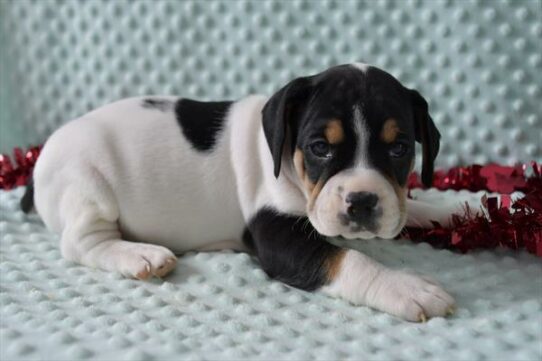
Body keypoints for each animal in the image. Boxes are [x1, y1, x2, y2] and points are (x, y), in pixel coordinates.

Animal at [25, 62, 460, 320]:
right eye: (320, 147)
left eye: (399, 148)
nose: (363, 201)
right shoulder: (278, 235)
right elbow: (348, 259)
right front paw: (405, 287)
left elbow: (408, 208)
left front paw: (453, 209)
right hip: (88, 186)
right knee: (81, 242)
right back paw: (140, 256)